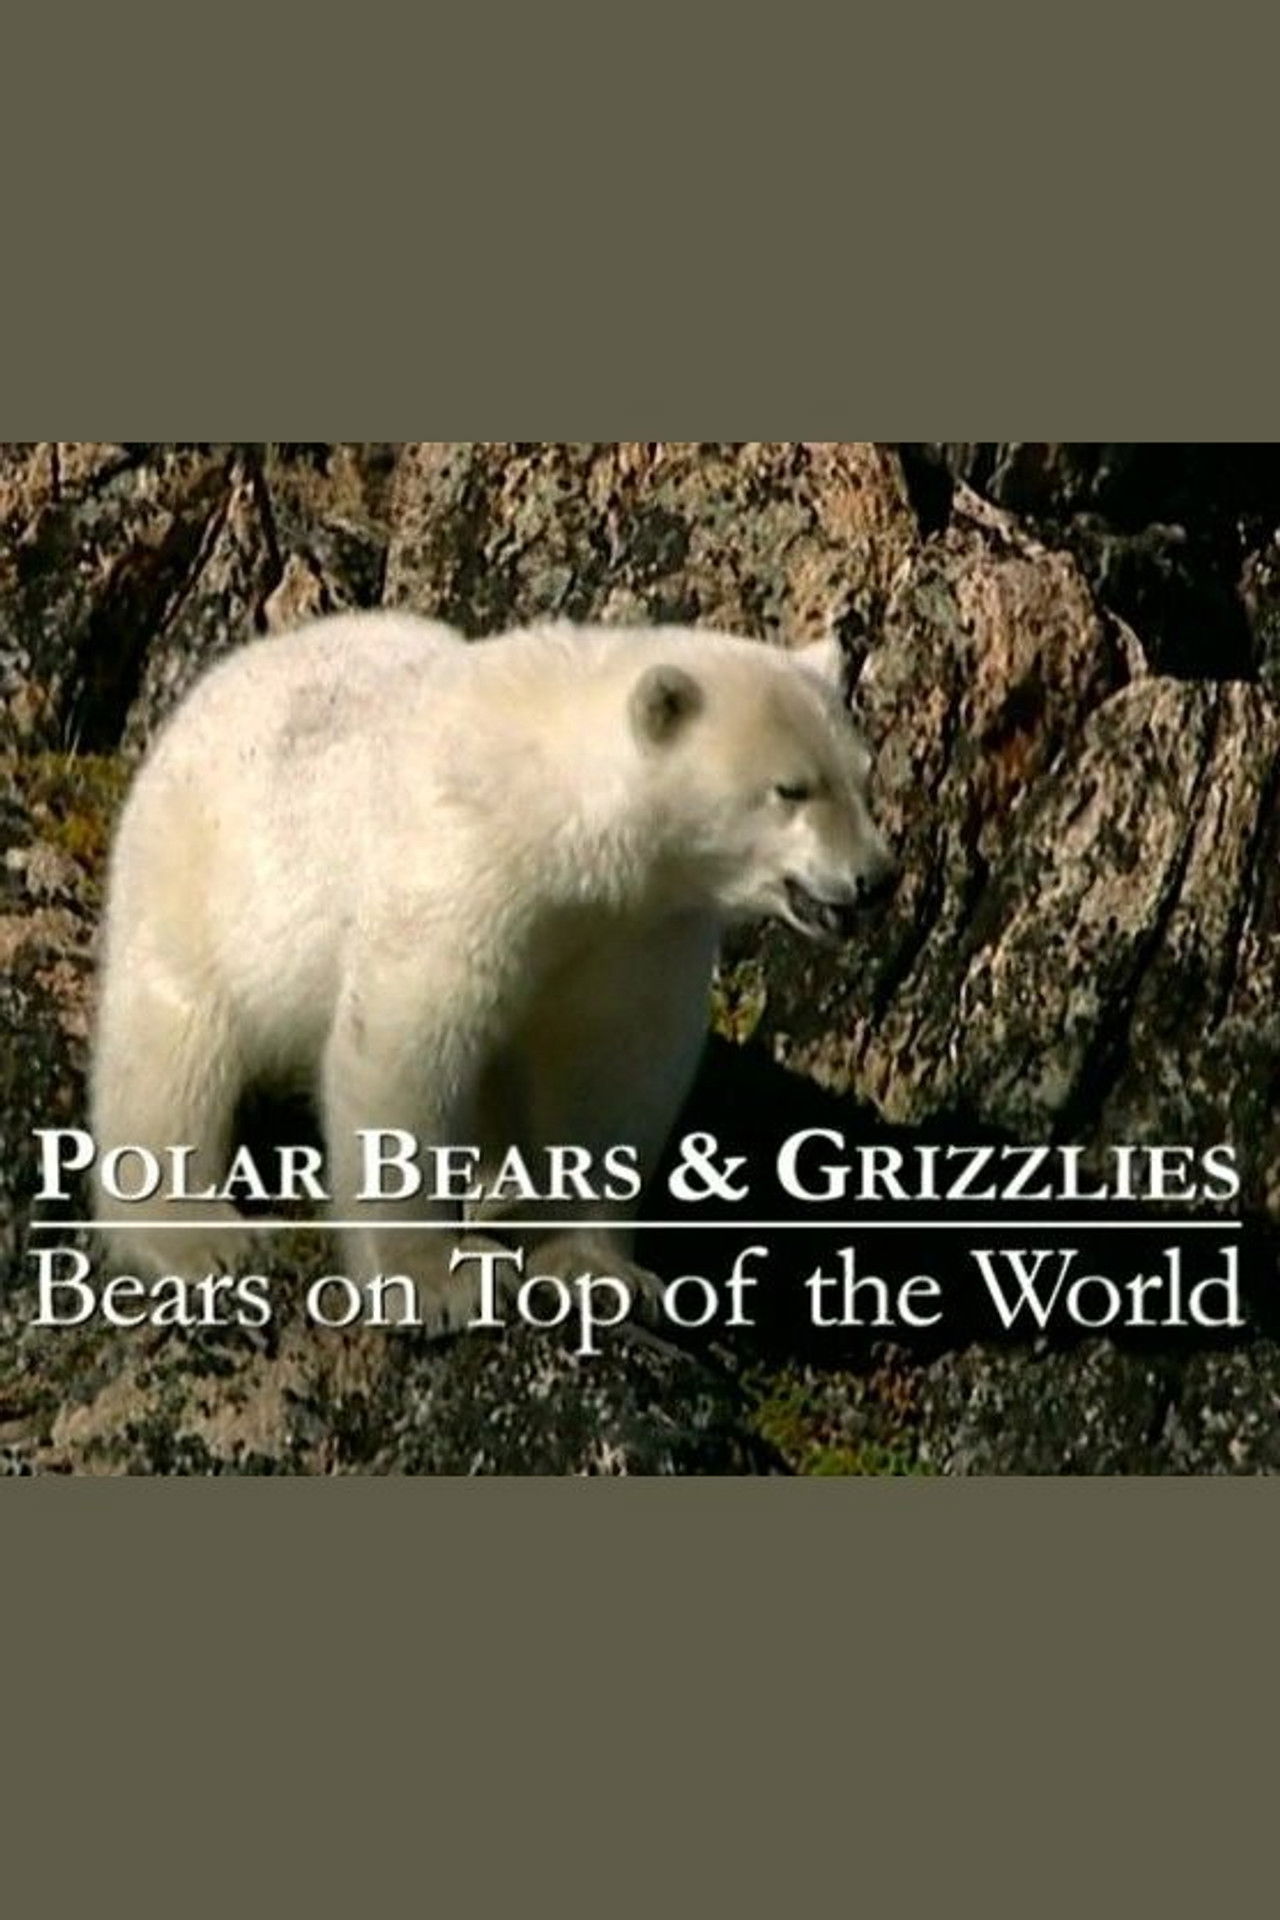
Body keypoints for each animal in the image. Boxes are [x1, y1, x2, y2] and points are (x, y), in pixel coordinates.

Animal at [88, 610, 898, 1326]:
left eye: (862, 778)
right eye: (791, 789)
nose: (874, 879)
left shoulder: (637, 927)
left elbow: (611, 1069)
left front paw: (596, 1272)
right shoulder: (467, 866)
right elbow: (408, 1043)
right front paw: (439, 1284)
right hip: (202, 879)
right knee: (172, 1048)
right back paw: (196, 1235)